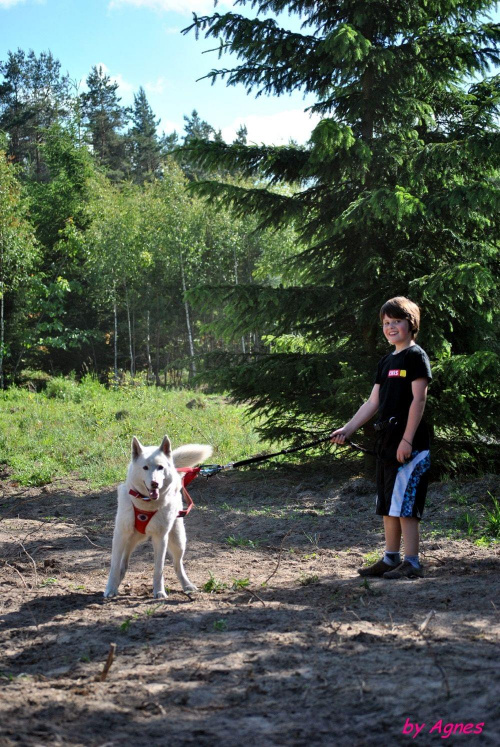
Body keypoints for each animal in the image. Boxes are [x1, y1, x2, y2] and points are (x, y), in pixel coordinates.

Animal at [104, 436, 210, 600]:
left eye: (160, 467)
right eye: (145, 467)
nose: (155, 483)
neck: (146, 504)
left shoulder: (160, 538)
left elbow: (159, 569)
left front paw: (159, 591)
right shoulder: (120, 535)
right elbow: (114, 566)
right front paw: (110, 589)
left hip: (178, 540)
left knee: (177, 564)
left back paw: (187, 585)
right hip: (130, 540)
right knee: (123, 563)